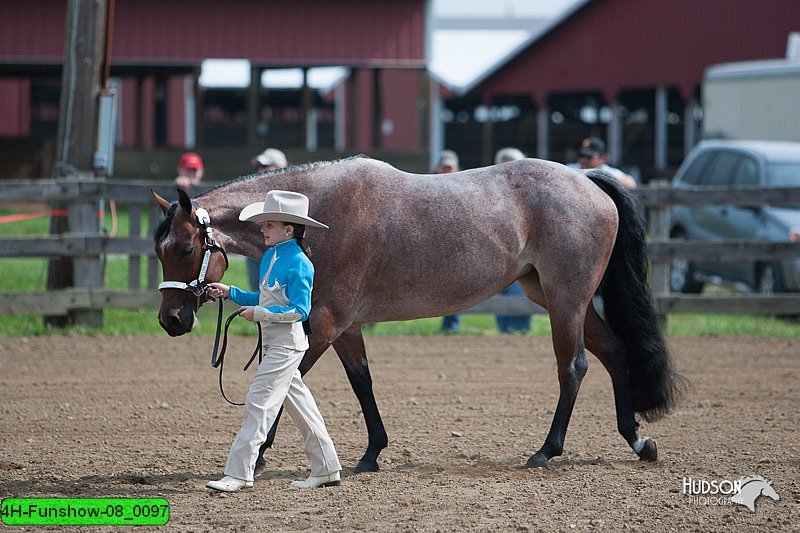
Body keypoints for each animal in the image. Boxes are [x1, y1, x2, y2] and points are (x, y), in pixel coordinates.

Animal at [153, 156, 684, 472]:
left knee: (573, 367)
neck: (315, 217)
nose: (171, 321)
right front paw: (372, 453)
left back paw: (546, 451)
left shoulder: (322, 322)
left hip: (566, 300)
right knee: (616, 354)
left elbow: (283, 381)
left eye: (185, 248)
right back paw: (637, 440)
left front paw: (259, 453)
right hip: (558, 298)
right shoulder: (345, 326)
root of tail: (587, 180)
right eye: (159, 250)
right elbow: (362, 382)